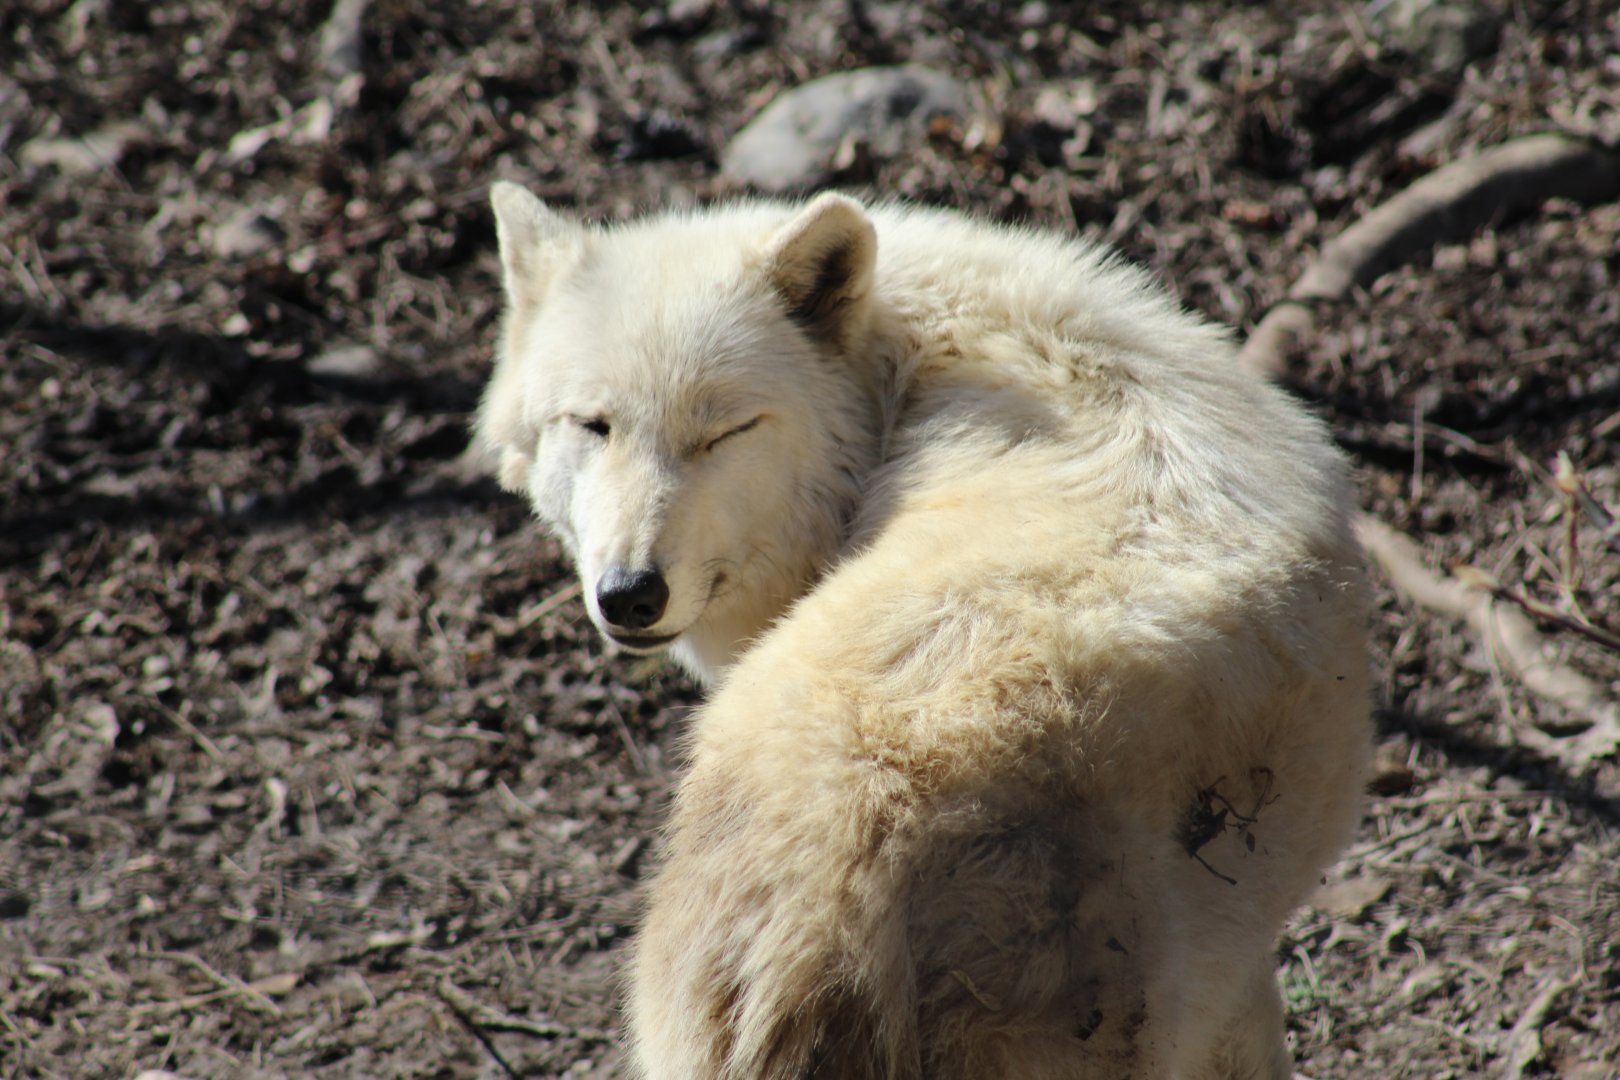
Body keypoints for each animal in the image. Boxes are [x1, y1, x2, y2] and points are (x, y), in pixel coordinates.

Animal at [477, 181, 1371, 1079]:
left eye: (725, 432)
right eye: (593, 424)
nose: (630, 594)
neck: (910, 366)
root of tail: (844, 877)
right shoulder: (1244, 961)